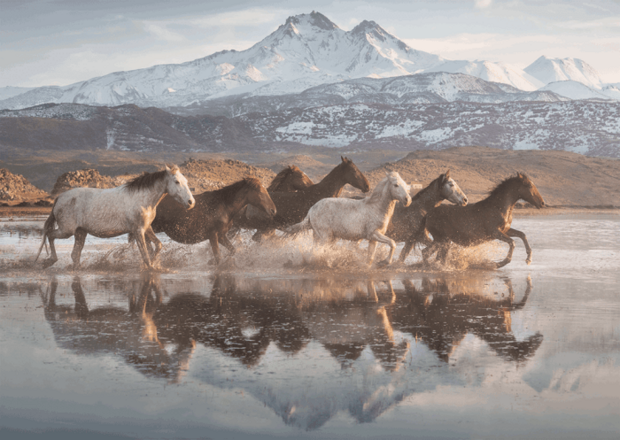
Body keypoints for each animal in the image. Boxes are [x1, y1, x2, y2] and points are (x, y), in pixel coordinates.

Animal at [35, 164, 194, 268]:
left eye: (186, 181)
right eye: (176, 181)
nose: (191, 202)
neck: (142, 198)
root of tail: (59, 198)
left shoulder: (146, 228)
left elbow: (158, 246)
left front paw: (155, 264)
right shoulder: (138, 231)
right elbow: (145, 255)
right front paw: (150, 268)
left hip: (80, 232)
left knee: (75, 255)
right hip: (66, 231)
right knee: (50, 235)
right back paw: (50, 260)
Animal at [148, 177, 276, 262]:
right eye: (260, 191)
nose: (273, 210)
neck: (225, 206)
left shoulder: (221, 235)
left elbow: (233, 250)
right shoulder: (213, 235)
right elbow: (218, 257)